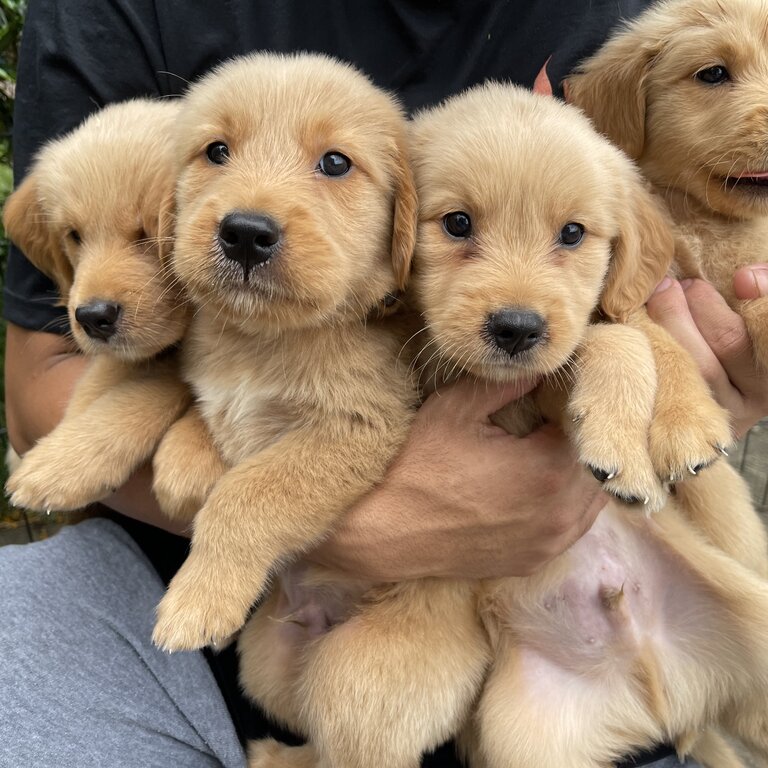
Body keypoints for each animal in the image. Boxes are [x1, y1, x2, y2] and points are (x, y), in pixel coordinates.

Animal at [151, 54, 424, 656]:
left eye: (336, 162)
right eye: (216, 151)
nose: (245, 234)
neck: (260, 341)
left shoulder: (357, 424)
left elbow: (244, 495)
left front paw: (197, 600)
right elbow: (199, 439)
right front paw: (185, 467)